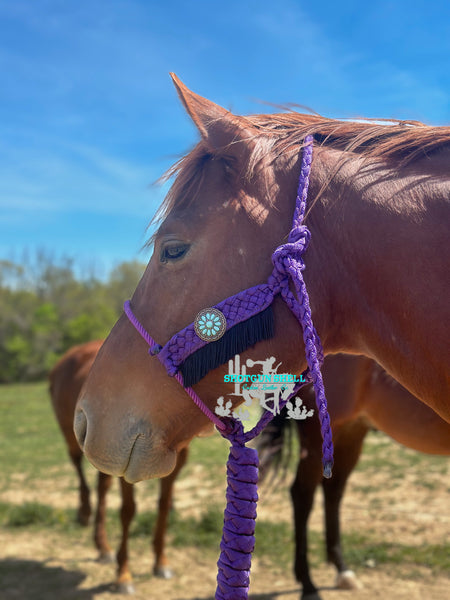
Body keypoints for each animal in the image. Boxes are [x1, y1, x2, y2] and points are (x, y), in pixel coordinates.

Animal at [46, 340, 186, 592]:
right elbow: (128, 510)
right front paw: (123, 575)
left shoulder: (177, 461)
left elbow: (163, 506)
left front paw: (161, 562)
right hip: (73, 434)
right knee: (78, 468)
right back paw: (84, 512)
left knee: (102, 487)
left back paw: (103, 547)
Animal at [256, 354, 450, 596]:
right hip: (317, 437)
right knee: (302, 495)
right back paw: (308, 584)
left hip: (351, 433)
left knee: (332, 491)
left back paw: (342, 571)